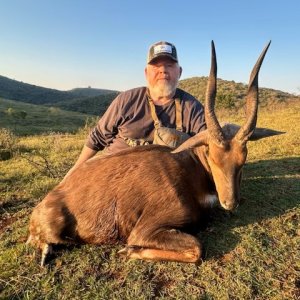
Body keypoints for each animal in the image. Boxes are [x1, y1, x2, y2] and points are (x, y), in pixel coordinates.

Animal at [27, 39, 282, 264]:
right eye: (212, 156)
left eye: (243, 160)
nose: (230, 203)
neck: (191, 171)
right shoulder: (146, 230)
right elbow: (196, 249)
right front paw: (128, 250)